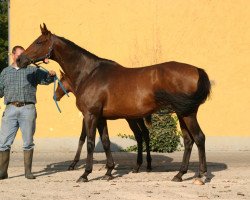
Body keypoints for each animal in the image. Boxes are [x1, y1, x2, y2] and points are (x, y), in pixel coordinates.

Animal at [16, 23, 211, 184]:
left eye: (39, 42)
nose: (19, 60)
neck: (89, 74)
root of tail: (196, 70)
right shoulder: (101, 118)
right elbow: (106, 142)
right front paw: (109, 172)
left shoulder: (90, 115)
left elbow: (89, 142)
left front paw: (85, 174)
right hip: (181, 114)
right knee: (188, 141)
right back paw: (179, 174)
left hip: (187, 114)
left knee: (199, 138)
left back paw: (201, 175)